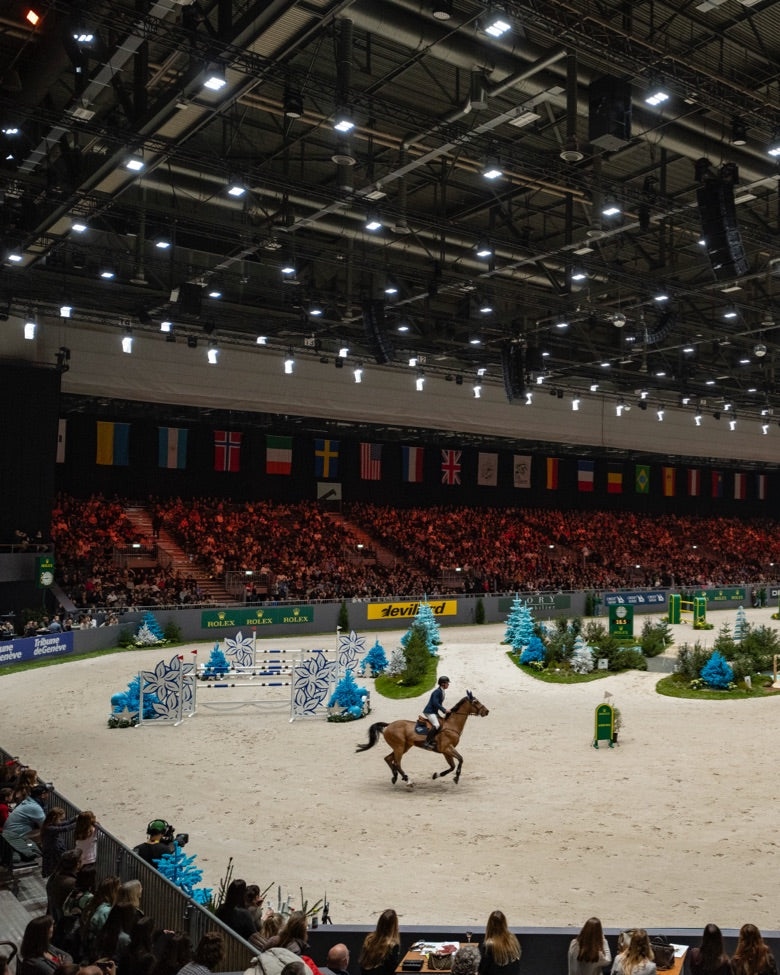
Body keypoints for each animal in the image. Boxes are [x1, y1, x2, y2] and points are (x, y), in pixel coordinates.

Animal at [354, 692, 488, 788]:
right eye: (475, 701)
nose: (486, 711)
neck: (451, 725)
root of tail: (389, 724)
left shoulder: (446, 751)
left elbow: (452, 766)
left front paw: (436, 775)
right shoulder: (447, 748)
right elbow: (460, 759)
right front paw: (456, 778)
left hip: (404, 747)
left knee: (388, 759)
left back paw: (395, 777)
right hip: (399, 747)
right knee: (396, 763)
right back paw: (408, 780)